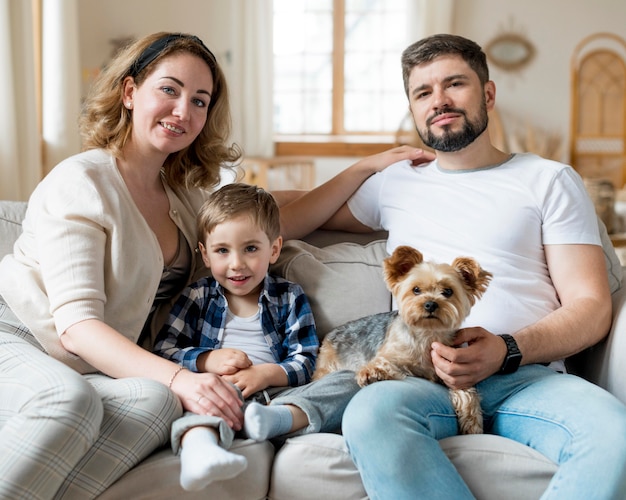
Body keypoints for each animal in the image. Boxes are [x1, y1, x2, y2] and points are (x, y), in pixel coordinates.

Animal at [314, 246, 490, 434]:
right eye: (416, 289)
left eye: (448, 291)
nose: (430, 304)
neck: (427, 334)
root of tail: (330, 334)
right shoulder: (393, 352)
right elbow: (385, 361)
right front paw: (372, 373)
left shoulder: (453, 371)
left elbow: (467, 394)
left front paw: (473, 425)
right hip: (327, 365)